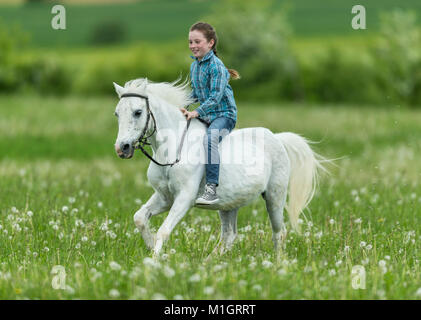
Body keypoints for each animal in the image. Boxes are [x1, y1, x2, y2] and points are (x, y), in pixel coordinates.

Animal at [111, 78, 324, 258]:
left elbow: (163, 231)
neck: (173, 149)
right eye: (117, 113)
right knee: (229, 236)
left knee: (279, 232)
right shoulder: (165, 197)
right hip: (228, 205)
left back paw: (279, 264)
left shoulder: (184, 198)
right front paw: (149, 247)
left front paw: (153, 261)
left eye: (138, 112)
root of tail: (277, 138)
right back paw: (208, 263)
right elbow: (139, 218)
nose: (122, 148)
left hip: (275, 197)